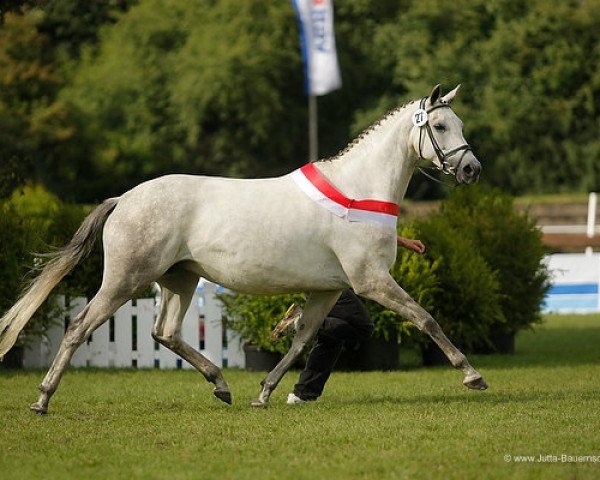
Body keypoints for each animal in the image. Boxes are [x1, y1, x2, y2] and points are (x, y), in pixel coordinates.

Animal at [0, 83, 486, 412]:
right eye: (440, 125)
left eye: (459, 124)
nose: (471, 169)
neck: (358, 192)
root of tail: (124, 199)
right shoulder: (371, 282)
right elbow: (426, 319)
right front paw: (472, 375)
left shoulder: (328, 289)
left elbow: (302, 340)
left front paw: (266, 393)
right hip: (126, 279)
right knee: (80, 326)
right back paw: (42, 399)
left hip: (179, 279)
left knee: (164, 332)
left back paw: (221, 385)